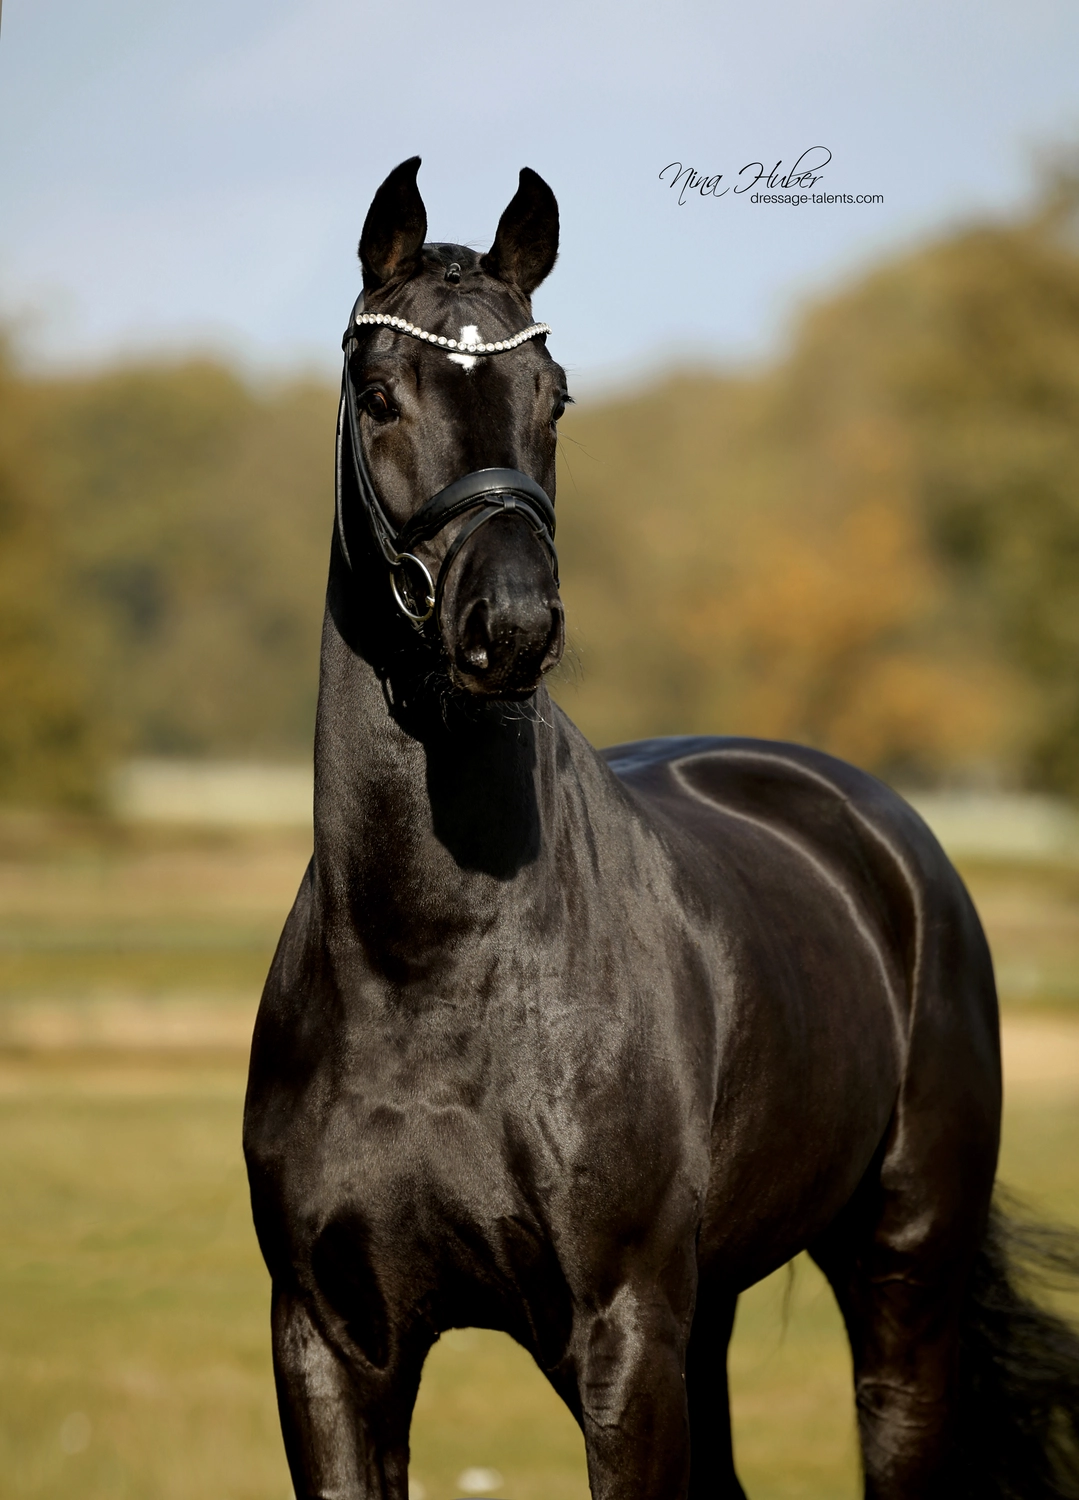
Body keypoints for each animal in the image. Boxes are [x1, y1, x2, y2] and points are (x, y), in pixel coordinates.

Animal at [244, 157, 1079, 1500]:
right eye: (377, 394)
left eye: (553, 394)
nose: (510, 624)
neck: (428, 971)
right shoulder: (329, 1350)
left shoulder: (622, 1338)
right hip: (714, 1310)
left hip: (900, 1274)